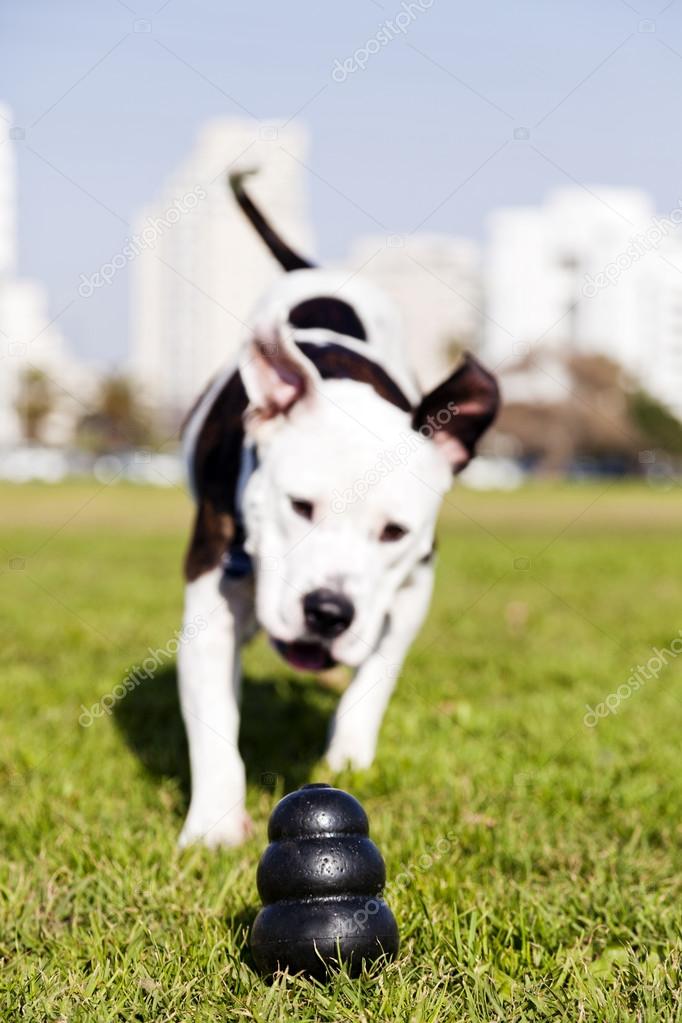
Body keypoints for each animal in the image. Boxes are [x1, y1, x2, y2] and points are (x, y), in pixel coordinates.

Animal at [175, 173, 498, 847]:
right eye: (299, 505)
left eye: (394, 532)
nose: (327, 612)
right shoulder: (209, 595)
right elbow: (213, 714)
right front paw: (215, 825)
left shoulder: (412, 589)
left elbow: (373, 679)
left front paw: (348, 756)